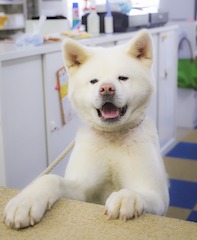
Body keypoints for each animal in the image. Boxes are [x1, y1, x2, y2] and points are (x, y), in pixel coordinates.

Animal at [3, 30, 169, 229]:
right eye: (94, 81)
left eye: (122, 78)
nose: (106, 88)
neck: (113, 138)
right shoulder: (82, 190)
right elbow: (51, 179)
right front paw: (26, 200)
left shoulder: (158, 196)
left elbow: (140, 193)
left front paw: (126, 197)